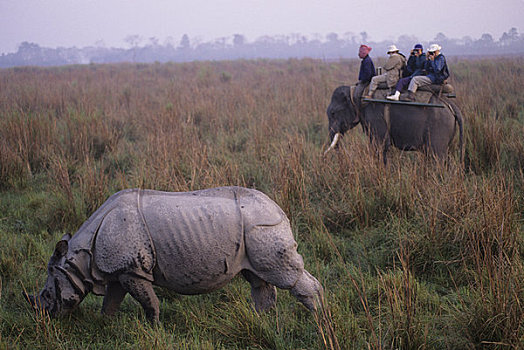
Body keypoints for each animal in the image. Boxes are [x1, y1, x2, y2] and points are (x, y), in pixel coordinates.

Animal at [27, 187, 324, 324]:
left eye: (47, 294)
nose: (43, 316)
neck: (81, 259)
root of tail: (279, 208)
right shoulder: (119, 269)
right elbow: (111, 301)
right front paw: (105, 324)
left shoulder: (133, 271)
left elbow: (149, 301)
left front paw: (154, 327)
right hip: (255, 231)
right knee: (258, 278)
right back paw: (263, 320)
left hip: (263, 226)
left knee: (286, 276)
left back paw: (320, 319)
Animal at [326, 87, 464, 165]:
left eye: (333, 113)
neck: (356, 91)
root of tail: (451, 105)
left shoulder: (375, 115)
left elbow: (381, 146)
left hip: (439, 127)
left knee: (436, 156)